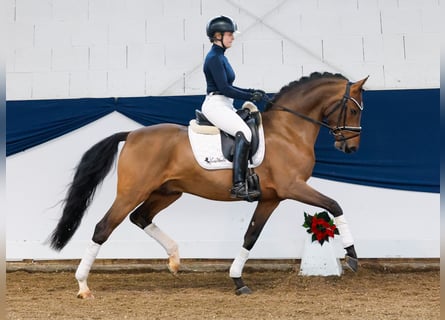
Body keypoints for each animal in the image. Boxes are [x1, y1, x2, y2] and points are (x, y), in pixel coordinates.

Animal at [49, 72, 368, 298]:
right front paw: (352, 256)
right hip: (132, 192)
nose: (350, 148)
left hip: (168, 192)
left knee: (140, 217)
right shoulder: (293, 187)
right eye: (354, 111)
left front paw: (238, 280)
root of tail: (132, 135)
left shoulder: (271, 198)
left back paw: (175, 259)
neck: (289, 131)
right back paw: (83, 286)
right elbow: (334, 205)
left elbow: (250, 236)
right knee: (103, 227)